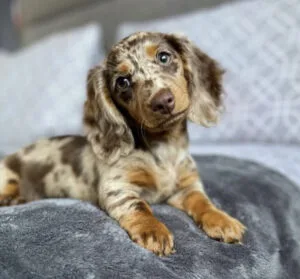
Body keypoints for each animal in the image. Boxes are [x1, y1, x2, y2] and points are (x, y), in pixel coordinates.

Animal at [0, 32, 245, 256]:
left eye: (164, 57)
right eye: (123, 82)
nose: (162, 101)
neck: (164, 148)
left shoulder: (187, 186)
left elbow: (202, 201)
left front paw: (222, 220)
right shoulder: (117, 186)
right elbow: (139, 205)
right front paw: (153, 230)